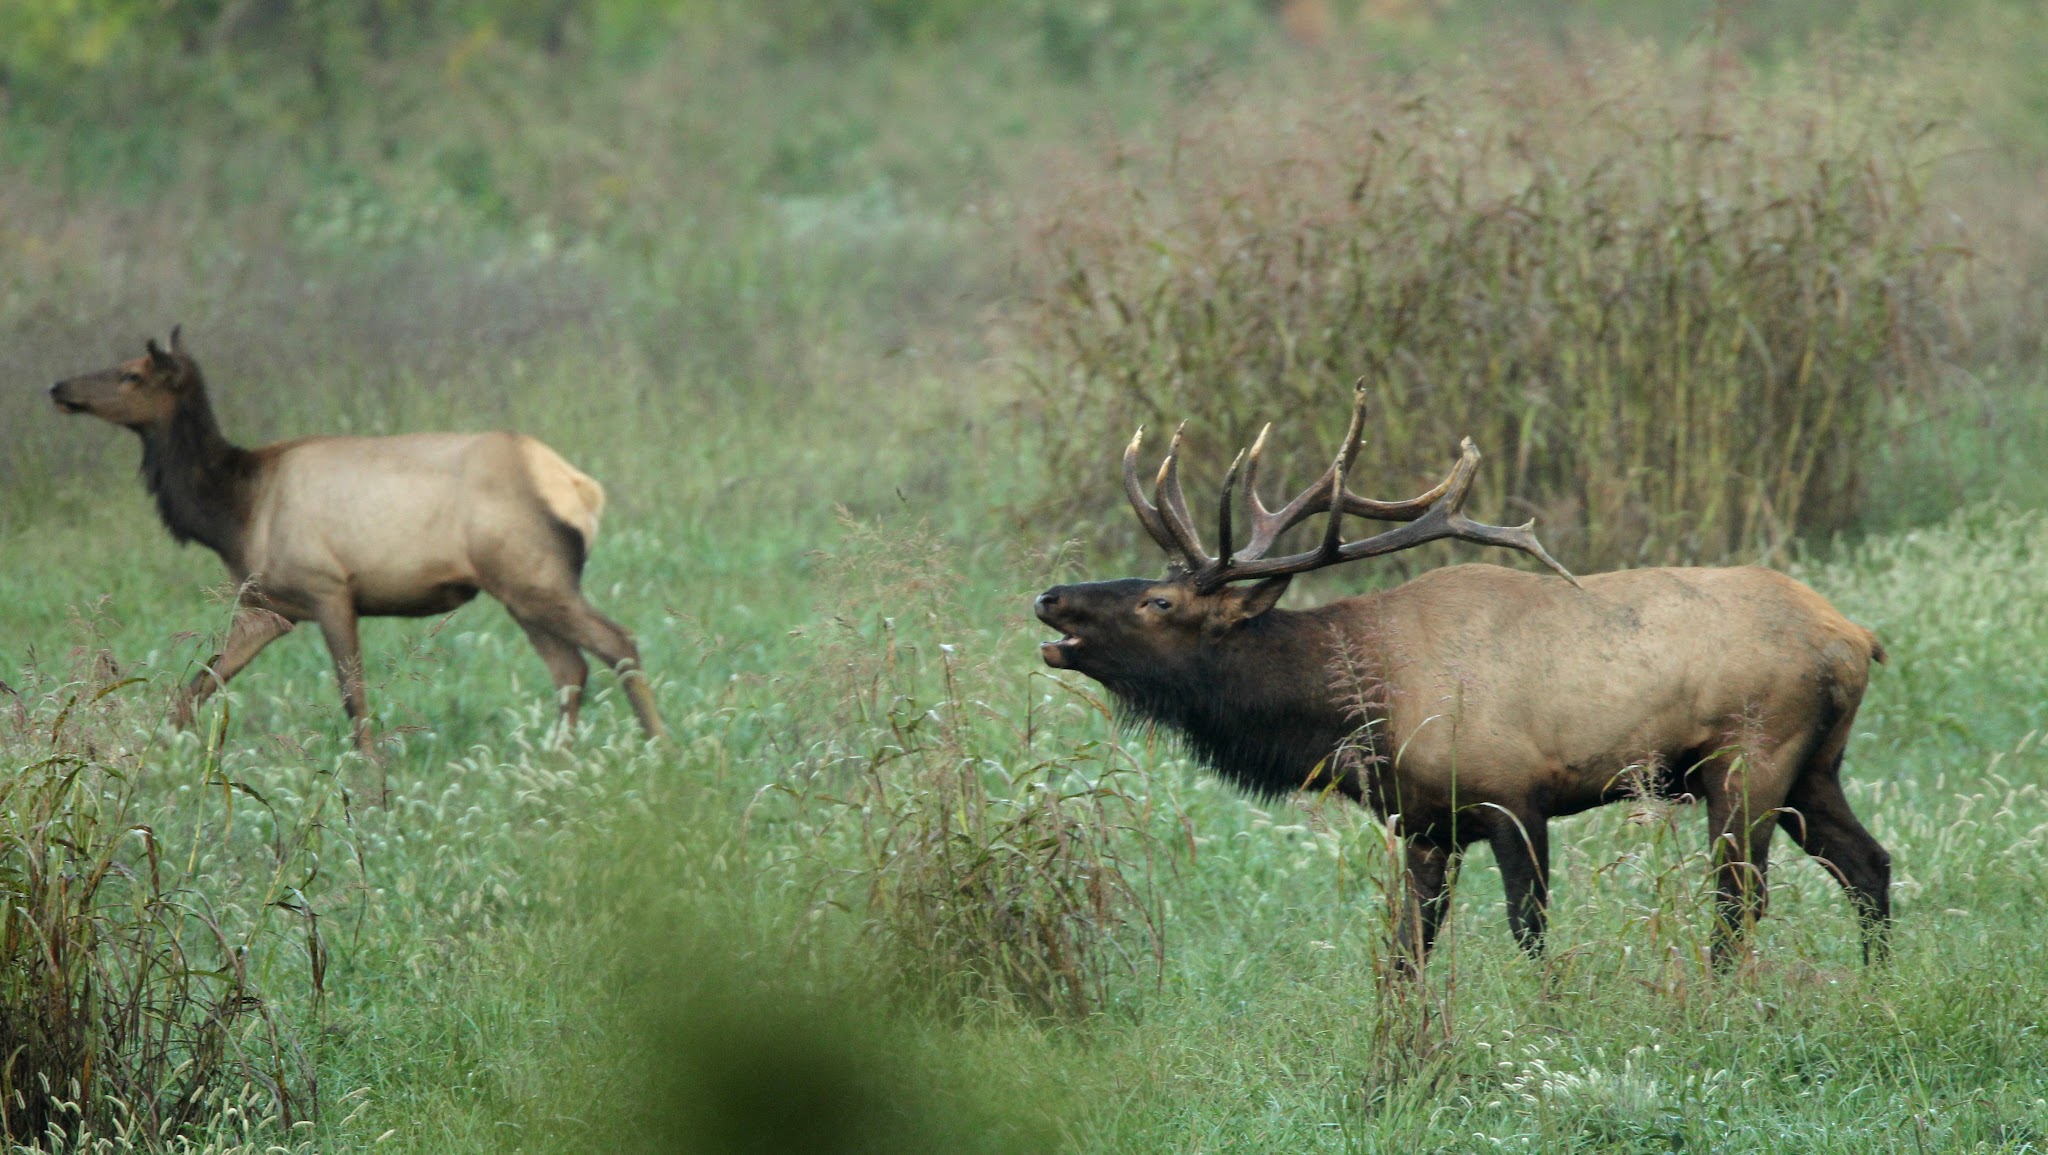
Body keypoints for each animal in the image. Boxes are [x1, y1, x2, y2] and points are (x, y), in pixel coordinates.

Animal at [49, 327, 663, 757]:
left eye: (132, 374)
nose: (58, 386)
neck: (233, 511)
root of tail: (582, 490)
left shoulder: (329, 590)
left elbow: (354, 699)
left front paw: (371, 787)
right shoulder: (266, 607)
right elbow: (194, 687)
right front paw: (134, 759)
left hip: (534, 577)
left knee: (619, 643)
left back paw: (662, 750)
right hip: (519, 591)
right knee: (571, 669)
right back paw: (556, 762)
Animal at [1032, 387, 1892, 966]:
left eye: (1160, 600)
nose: (1049, 598)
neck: (1362, 714)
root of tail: (1858, 637)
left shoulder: (1513, 793)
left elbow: (1530, 930)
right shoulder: (1423, 824)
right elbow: (1406, 948)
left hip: (1750, 756)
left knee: (1741, 897)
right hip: (1815, 765)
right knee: (1868, 865)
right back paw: (1873, 986)